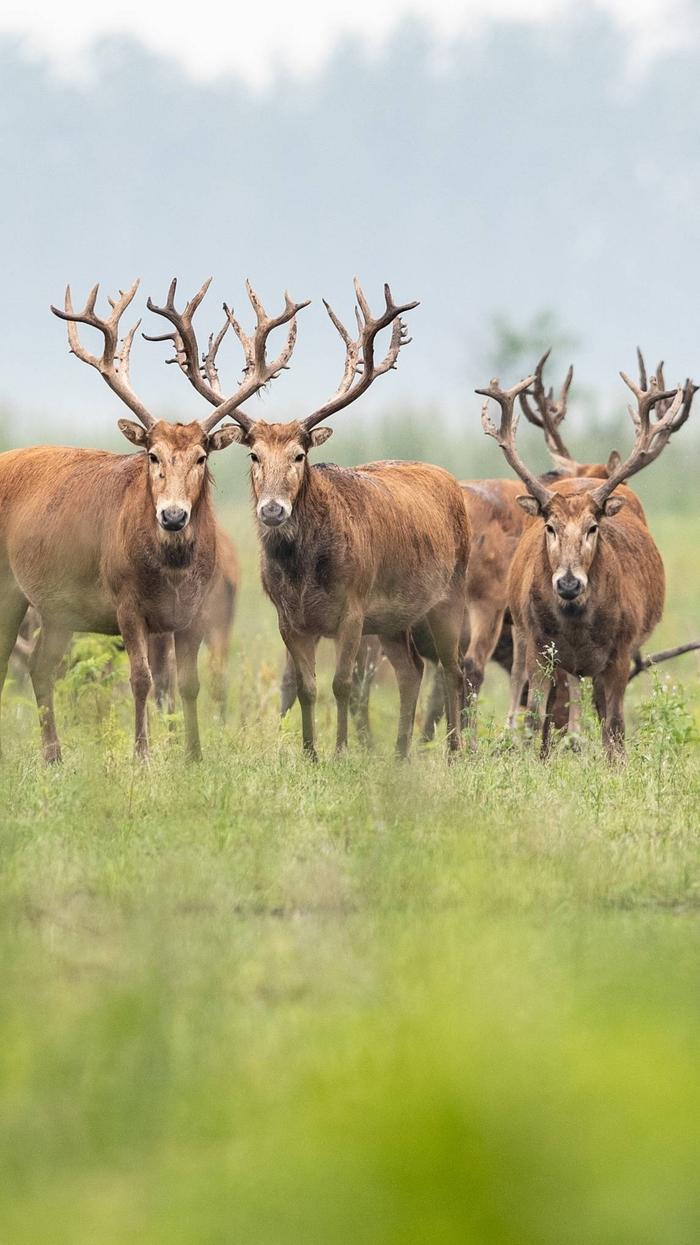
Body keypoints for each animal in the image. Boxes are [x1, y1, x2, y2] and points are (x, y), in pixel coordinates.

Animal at [0, 275, 302, 756]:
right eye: (152, 455)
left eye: (201, 457)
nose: (174, 516)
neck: (171, 571)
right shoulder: (125, 601)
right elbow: (141, 680)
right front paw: (141, 754)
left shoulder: (195, 611)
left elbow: (188, 684)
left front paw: (194, 754)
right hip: (10, 589)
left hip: (57, 609)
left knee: (41, 667)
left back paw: (54, 755)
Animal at [149, 278, 470, 756]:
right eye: (254, 455)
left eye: (300, 455)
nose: (272, 508)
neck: (304, 574)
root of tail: (449, 480)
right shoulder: (290, 619)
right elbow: (306, 687)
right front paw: (309, 752)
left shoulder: (354, 607)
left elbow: (342, 685)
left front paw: (340, 751)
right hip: (395, 619)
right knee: (412, 668)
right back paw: (399, 753)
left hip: (450, 594)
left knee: (452, 668)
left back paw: (454, 750)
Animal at [473, 361, 692, 756]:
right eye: (549, 527)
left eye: (593, 527)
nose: (569, 582)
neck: (577, 623)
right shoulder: (540, 646)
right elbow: (536, 717)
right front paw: (536, 756)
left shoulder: (621, 650)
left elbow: (615, 724)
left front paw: (609, 760)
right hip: (519, 630)